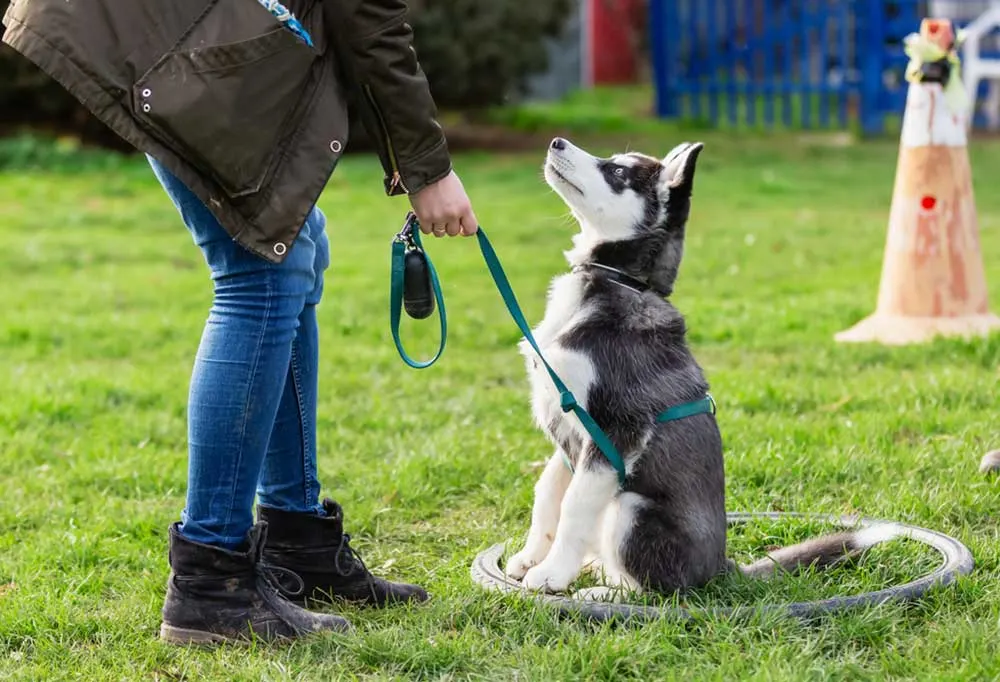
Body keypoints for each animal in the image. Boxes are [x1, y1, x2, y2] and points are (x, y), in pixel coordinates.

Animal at [508, 138, 892, 596]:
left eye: (617, 172)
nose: (557, 142)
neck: (617, 281)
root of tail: (720, 568)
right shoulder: (569, 432)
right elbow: (548, 491)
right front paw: (530, 556)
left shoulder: (617, 429)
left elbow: (574, 505)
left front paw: (551, 573)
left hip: (631, 509)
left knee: (655, 588)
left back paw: (604, 590)